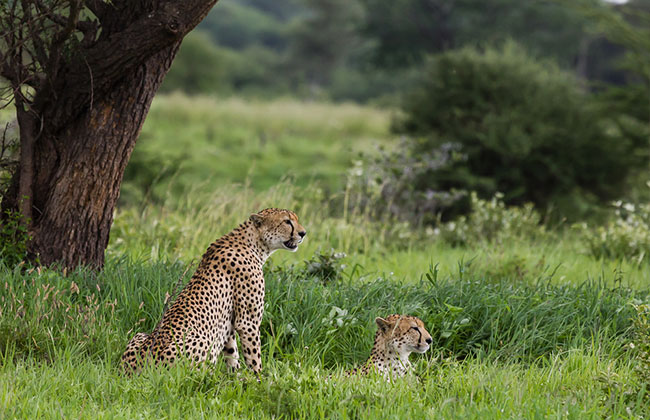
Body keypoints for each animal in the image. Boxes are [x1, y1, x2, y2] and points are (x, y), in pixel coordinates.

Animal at [122, 208, 306, 376]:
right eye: (287, 222)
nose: (303, 233)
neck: (253, 243)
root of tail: (137, 370)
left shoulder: (228, 324)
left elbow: (232, 354)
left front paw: (237, 379)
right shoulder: (248, 323)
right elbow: (254, 357)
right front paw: (258, 380)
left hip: (139, 335)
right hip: (203, 344)